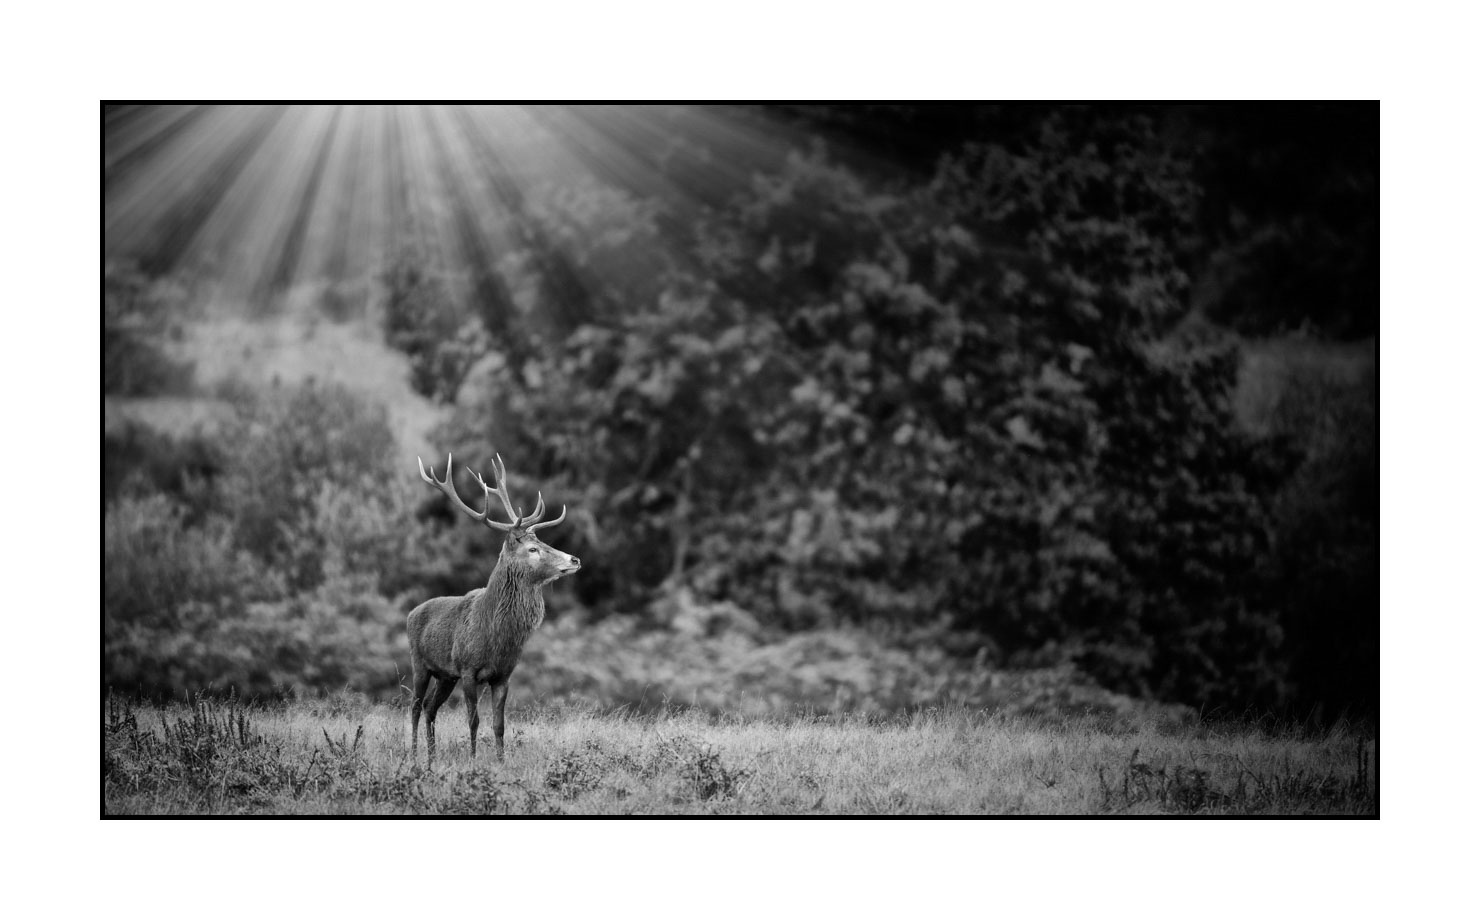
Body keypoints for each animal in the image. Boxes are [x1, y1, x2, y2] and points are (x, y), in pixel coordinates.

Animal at [408, 452, 580, 762]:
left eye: (543, 541)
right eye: (532, 549)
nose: (574, 560)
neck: (496, 637)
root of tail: (411, 613)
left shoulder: (503, 675)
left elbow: (499, 724)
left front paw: (501, 762)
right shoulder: (468, 669)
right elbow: (473, 720)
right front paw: (474, 760)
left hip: (445, 675)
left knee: (429, 707)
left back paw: (432, 757)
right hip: (420, 664)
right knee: (414, 706)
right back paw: (415, 755)